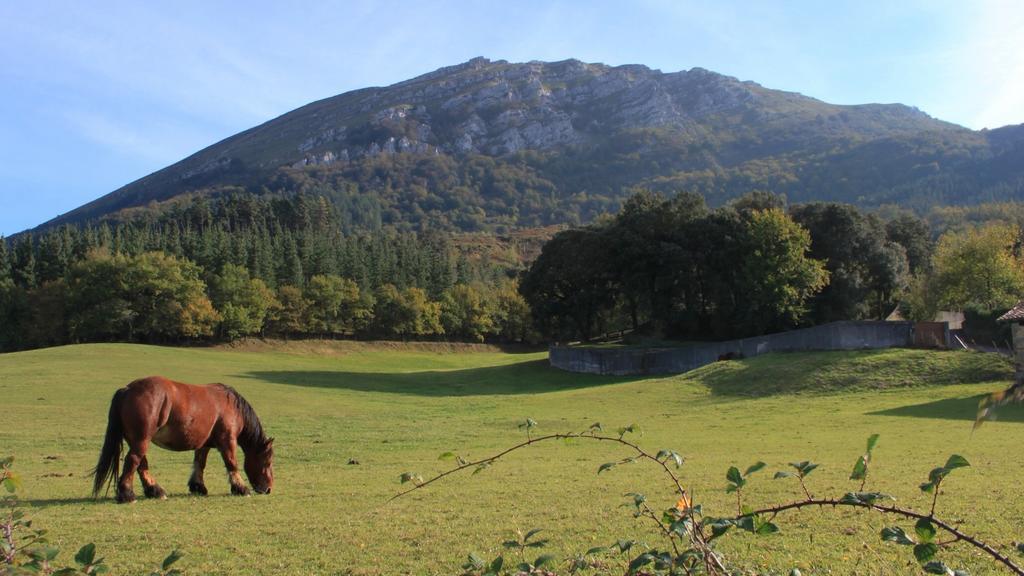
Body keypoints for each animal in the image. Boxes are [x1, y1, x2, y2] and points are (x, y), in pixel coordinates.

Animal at [90, 375, 274, 500]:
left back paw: (155, 491)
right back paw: (127, 494)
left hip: (136, 440)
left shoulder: (204, 444)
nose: (269, 489)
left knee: (141, 464)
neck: (232, 407)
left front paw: (198, 486)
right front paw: (241, 488)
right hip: (141, 440)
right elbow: (232, 463)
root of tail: (127, 390)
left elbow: (199, 463)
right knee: (133, 460)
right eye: (267, 462)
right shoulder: (227, 441)